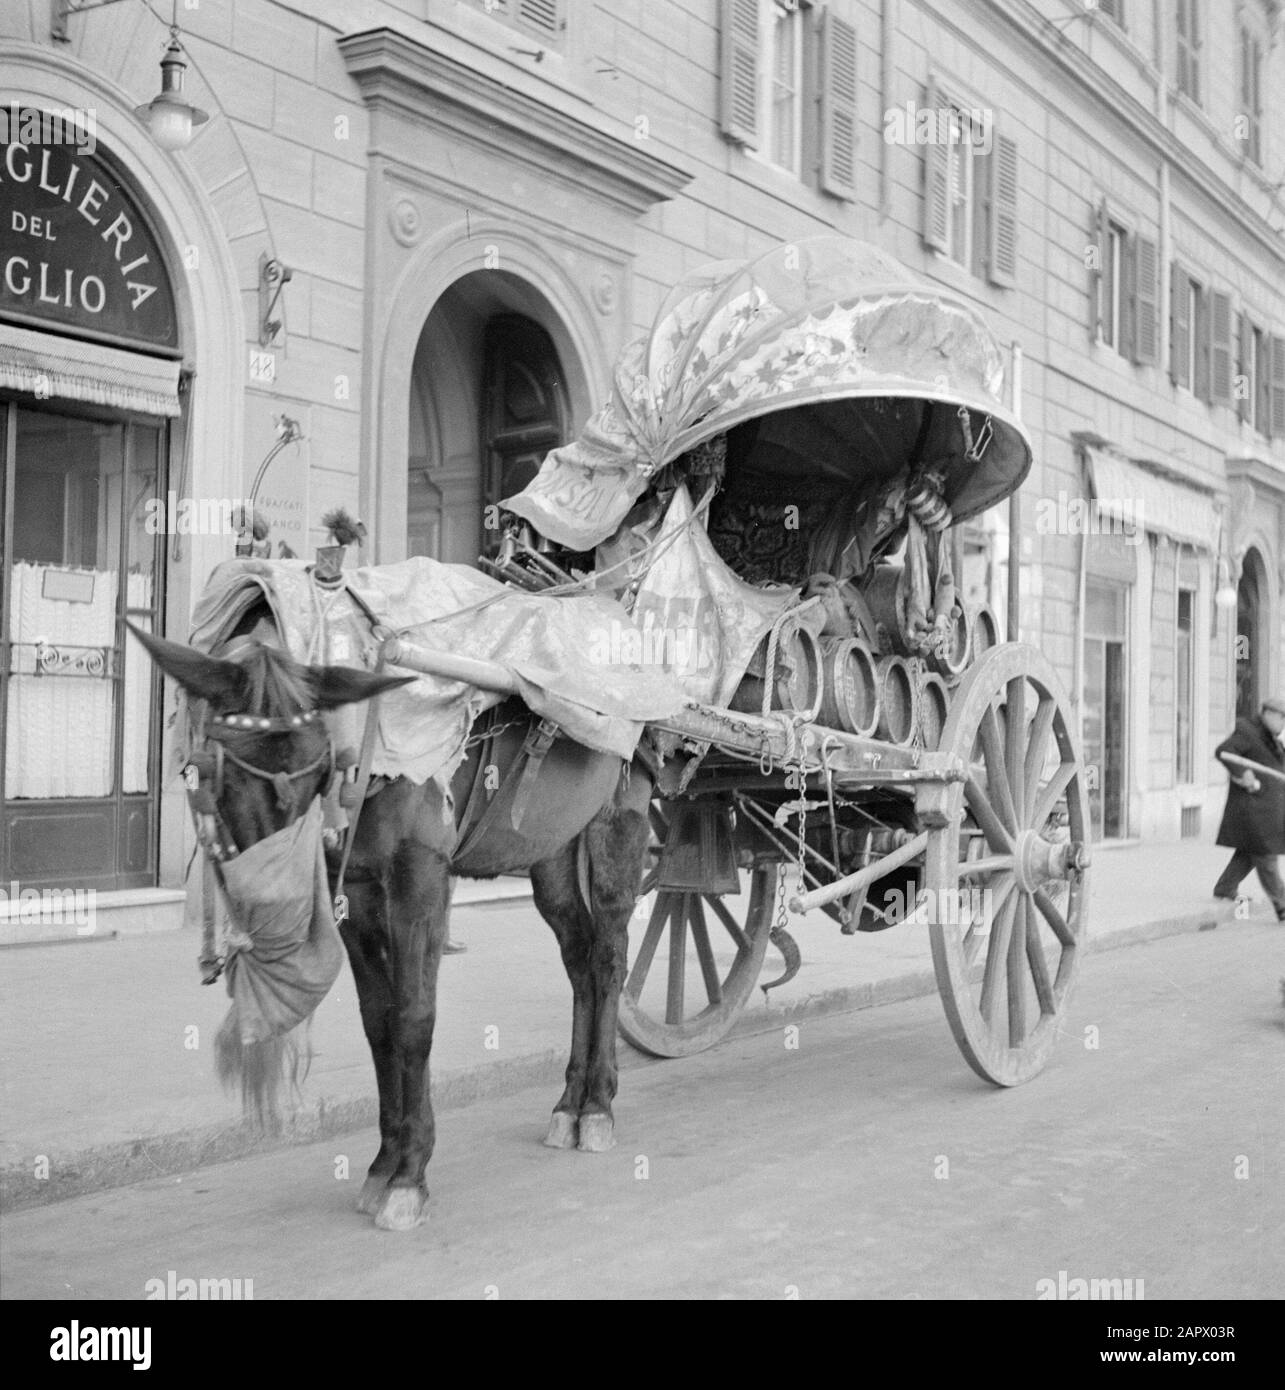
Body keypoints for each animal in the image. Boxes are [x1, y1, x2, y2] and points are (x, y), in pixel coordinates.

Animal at [130, 617, 653, 1228]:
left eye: (318, 767)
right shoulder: (355, 892)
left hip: (618, 824)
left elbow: (413, 1018)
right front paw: (384, 1164)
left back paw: (597, 1106)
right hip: (551, 851)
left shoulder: (420, 878)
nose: (280, 905)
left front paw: (410, 1175)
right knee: (578, 962)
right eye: (222, 774)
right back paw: (569, 1104)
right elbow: (378, 1023)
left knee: (609, 958)